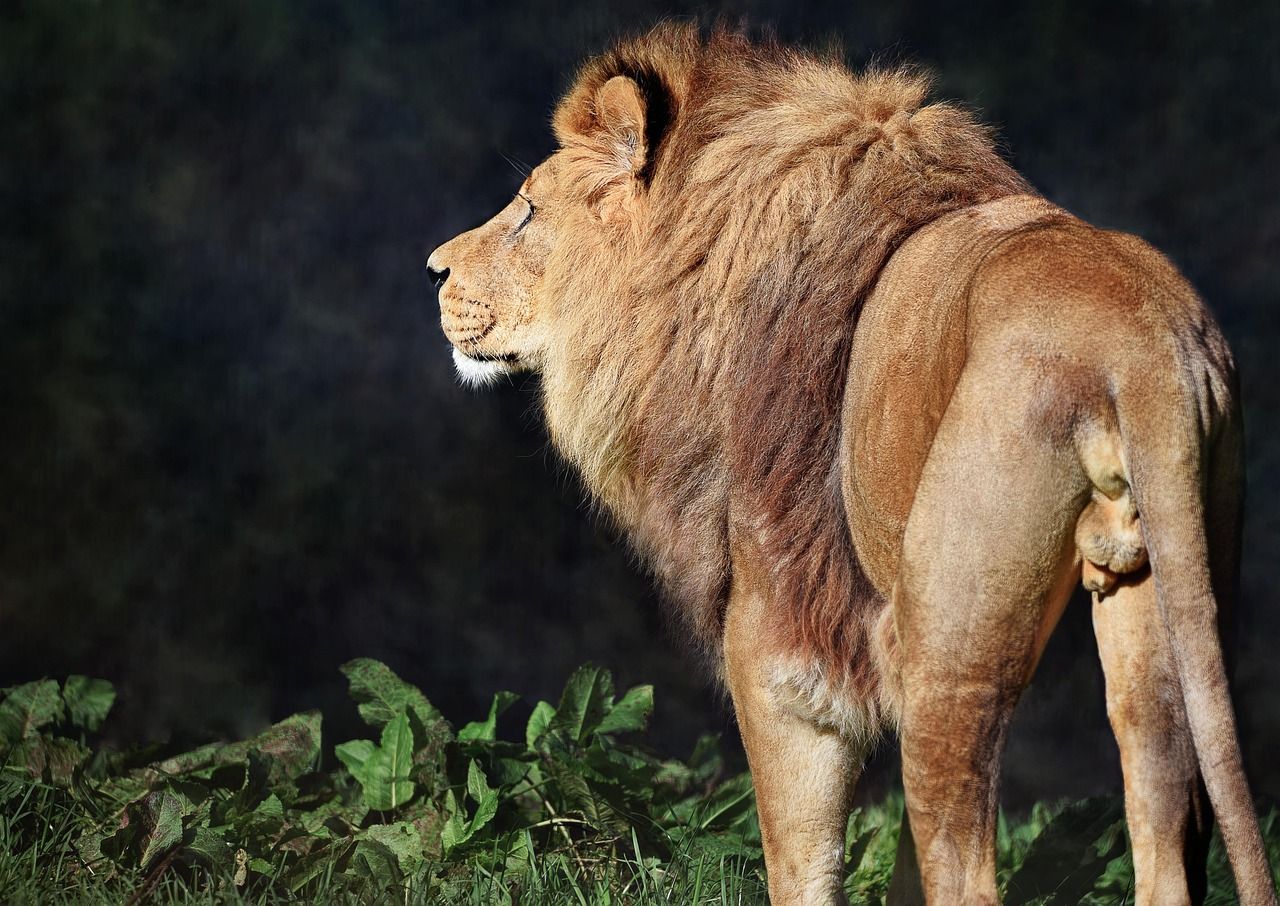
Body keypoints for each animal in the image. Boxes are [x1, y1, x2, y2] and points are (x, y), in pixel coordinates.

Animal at [427, 25, 1276, 906]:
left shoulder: (783, 638)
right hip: (1165, 601)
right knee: (1161, 812)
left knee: (966, 866)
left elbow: (800, 863)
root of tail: (1137, 345)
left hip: (949, 649)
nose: (433, 269)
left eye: (527, 212)